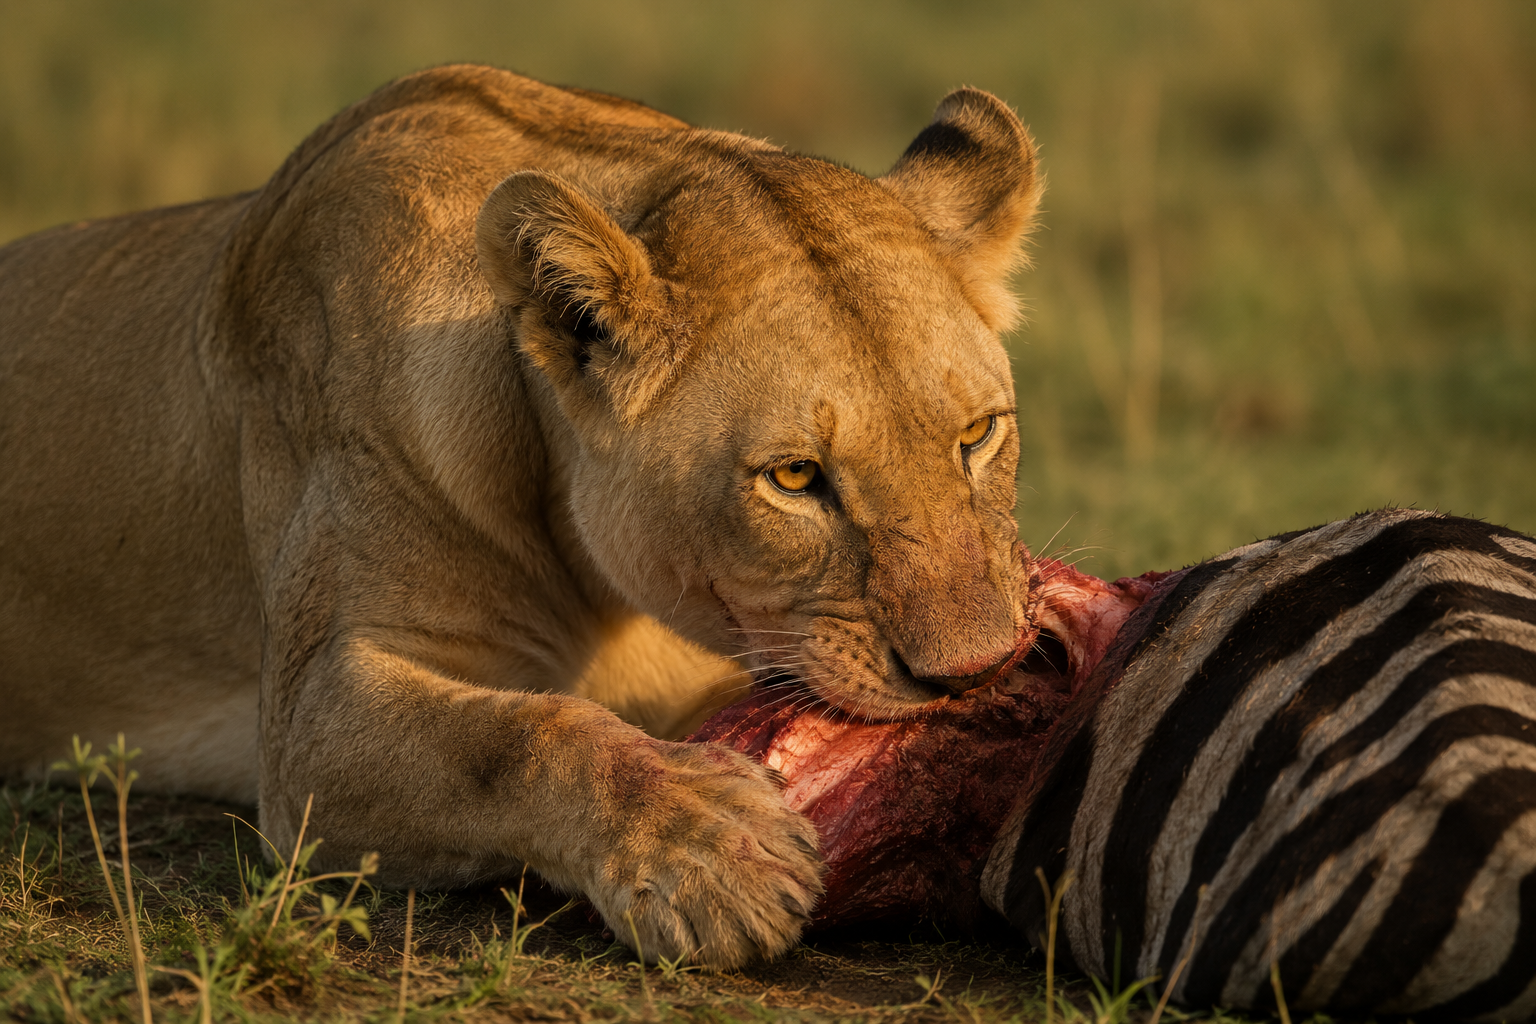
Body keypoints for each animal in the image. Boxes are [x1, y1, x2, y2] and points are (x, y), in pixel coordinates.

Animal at [0, 65, 1041, 968]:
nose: (974, 672)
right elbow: (519, 737)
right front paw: (709, 848)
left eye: (978, 433)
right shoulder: (305, 727)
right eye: (793, 478)